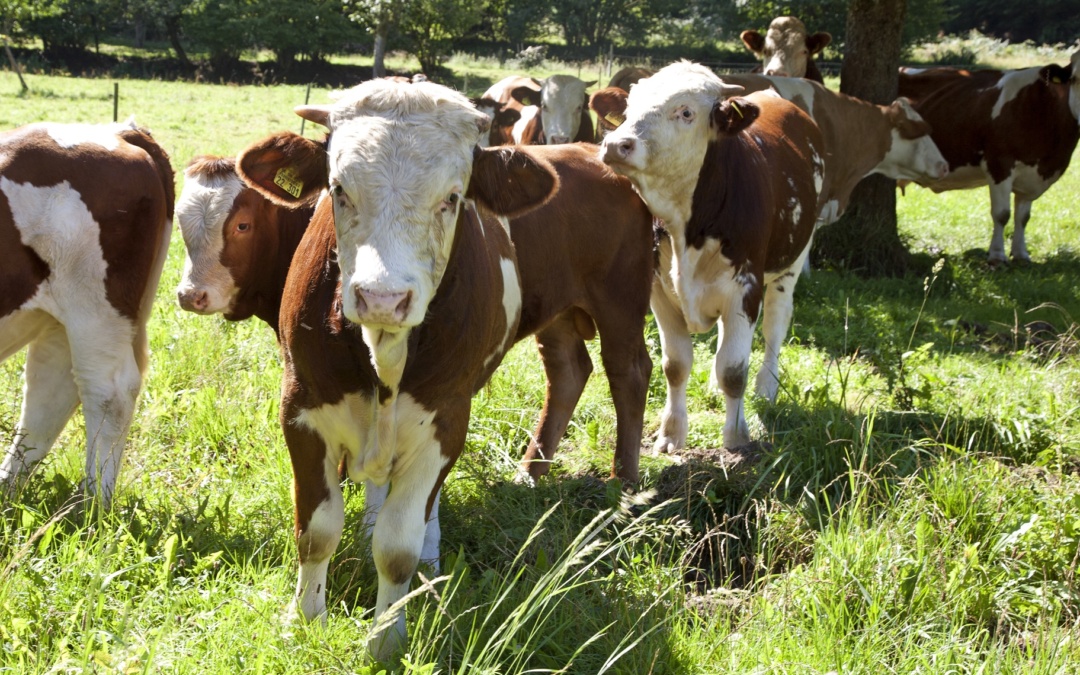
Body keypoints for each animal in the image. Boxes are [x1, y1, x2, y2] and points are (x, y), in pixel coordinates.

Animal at [0, 120, 172, 503]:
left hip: (96, 309)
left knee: (109, 393)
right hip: (61, 316)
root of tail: (117, 131)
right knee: (50, 390)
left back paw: (93, 504)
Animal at [600, 61, 825, 453]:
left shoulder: (744, 289)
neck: (687, 226)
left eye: (686, 112)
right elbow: (676, 365)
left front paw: (736, 436)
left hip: (791, 264)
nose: (617, 143)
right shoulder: (659, 292)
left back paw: (766, 387)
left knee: (775, 326)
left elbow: (734, 370)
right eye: (628, 108)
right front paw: (671, 433)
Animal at [894, 48, 1080, 260]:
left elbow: (1023, 217)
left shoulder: (1031, 173)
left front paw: (1021, 254)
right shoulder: (999, 163)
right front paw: (997, 256)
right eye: (1075, 79)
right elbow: (1002, 214)